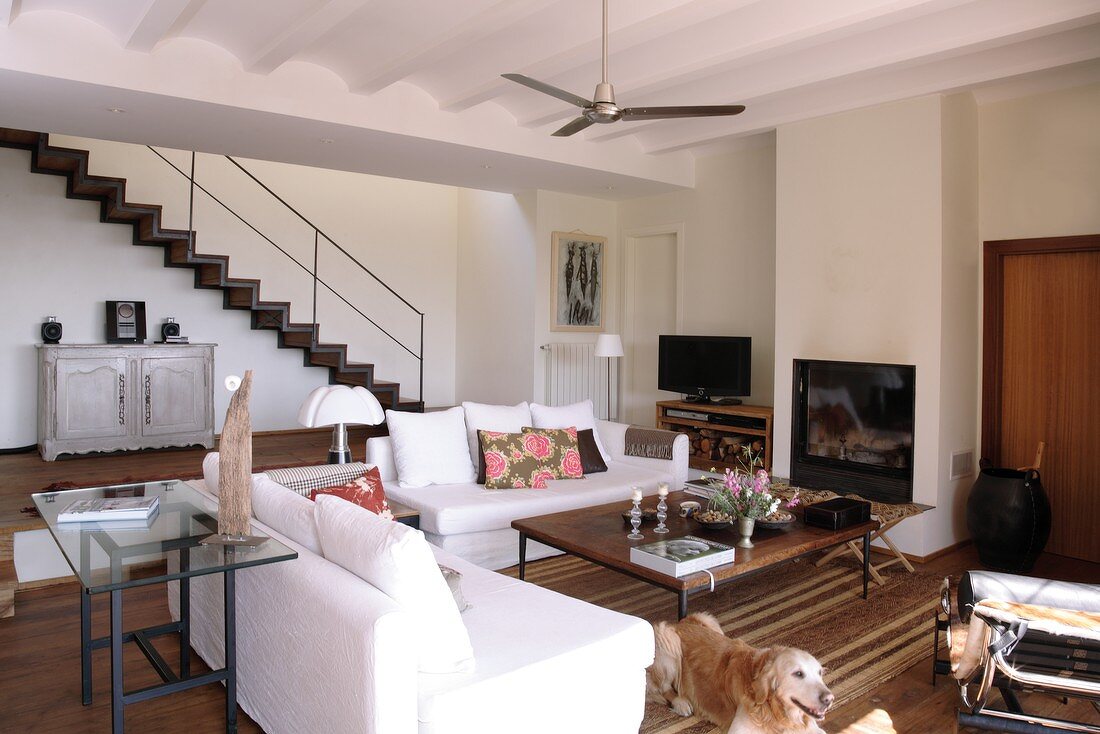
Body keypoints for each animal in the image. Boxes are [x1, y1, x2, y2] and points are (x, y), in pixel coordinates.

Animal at [642, 616, 831, 734]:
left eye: (819, 673)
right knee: (662, 689)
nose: (830, 699)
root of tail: (678, 623)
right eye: (798, 673)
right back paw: (680, 703)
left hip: (710, 621)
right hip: (668, 638)